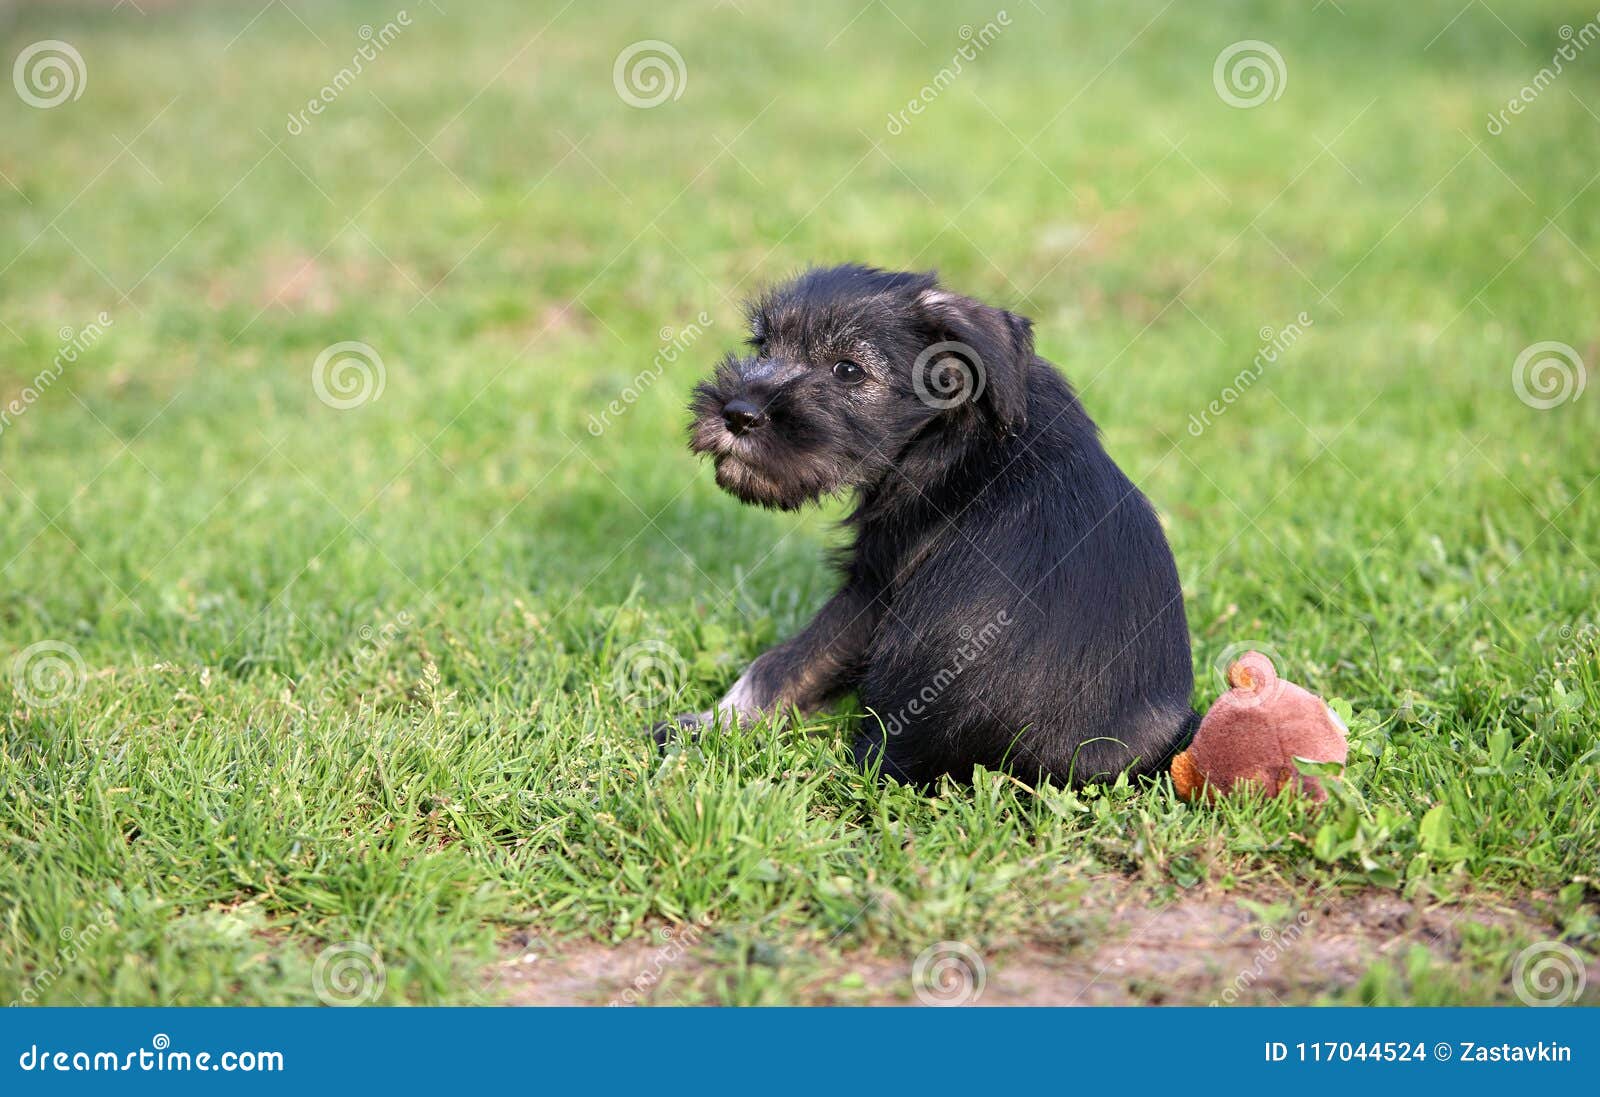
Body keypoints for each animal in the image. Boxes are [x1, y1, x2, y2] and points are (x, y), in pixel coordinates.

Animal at [656, 262, 1196, 786]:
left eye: (848, 370)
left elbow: (784, 663)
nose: (738, 413)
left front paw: (708, 724)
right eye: (762, 347)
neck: (951, 429)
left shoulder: (871, 590)